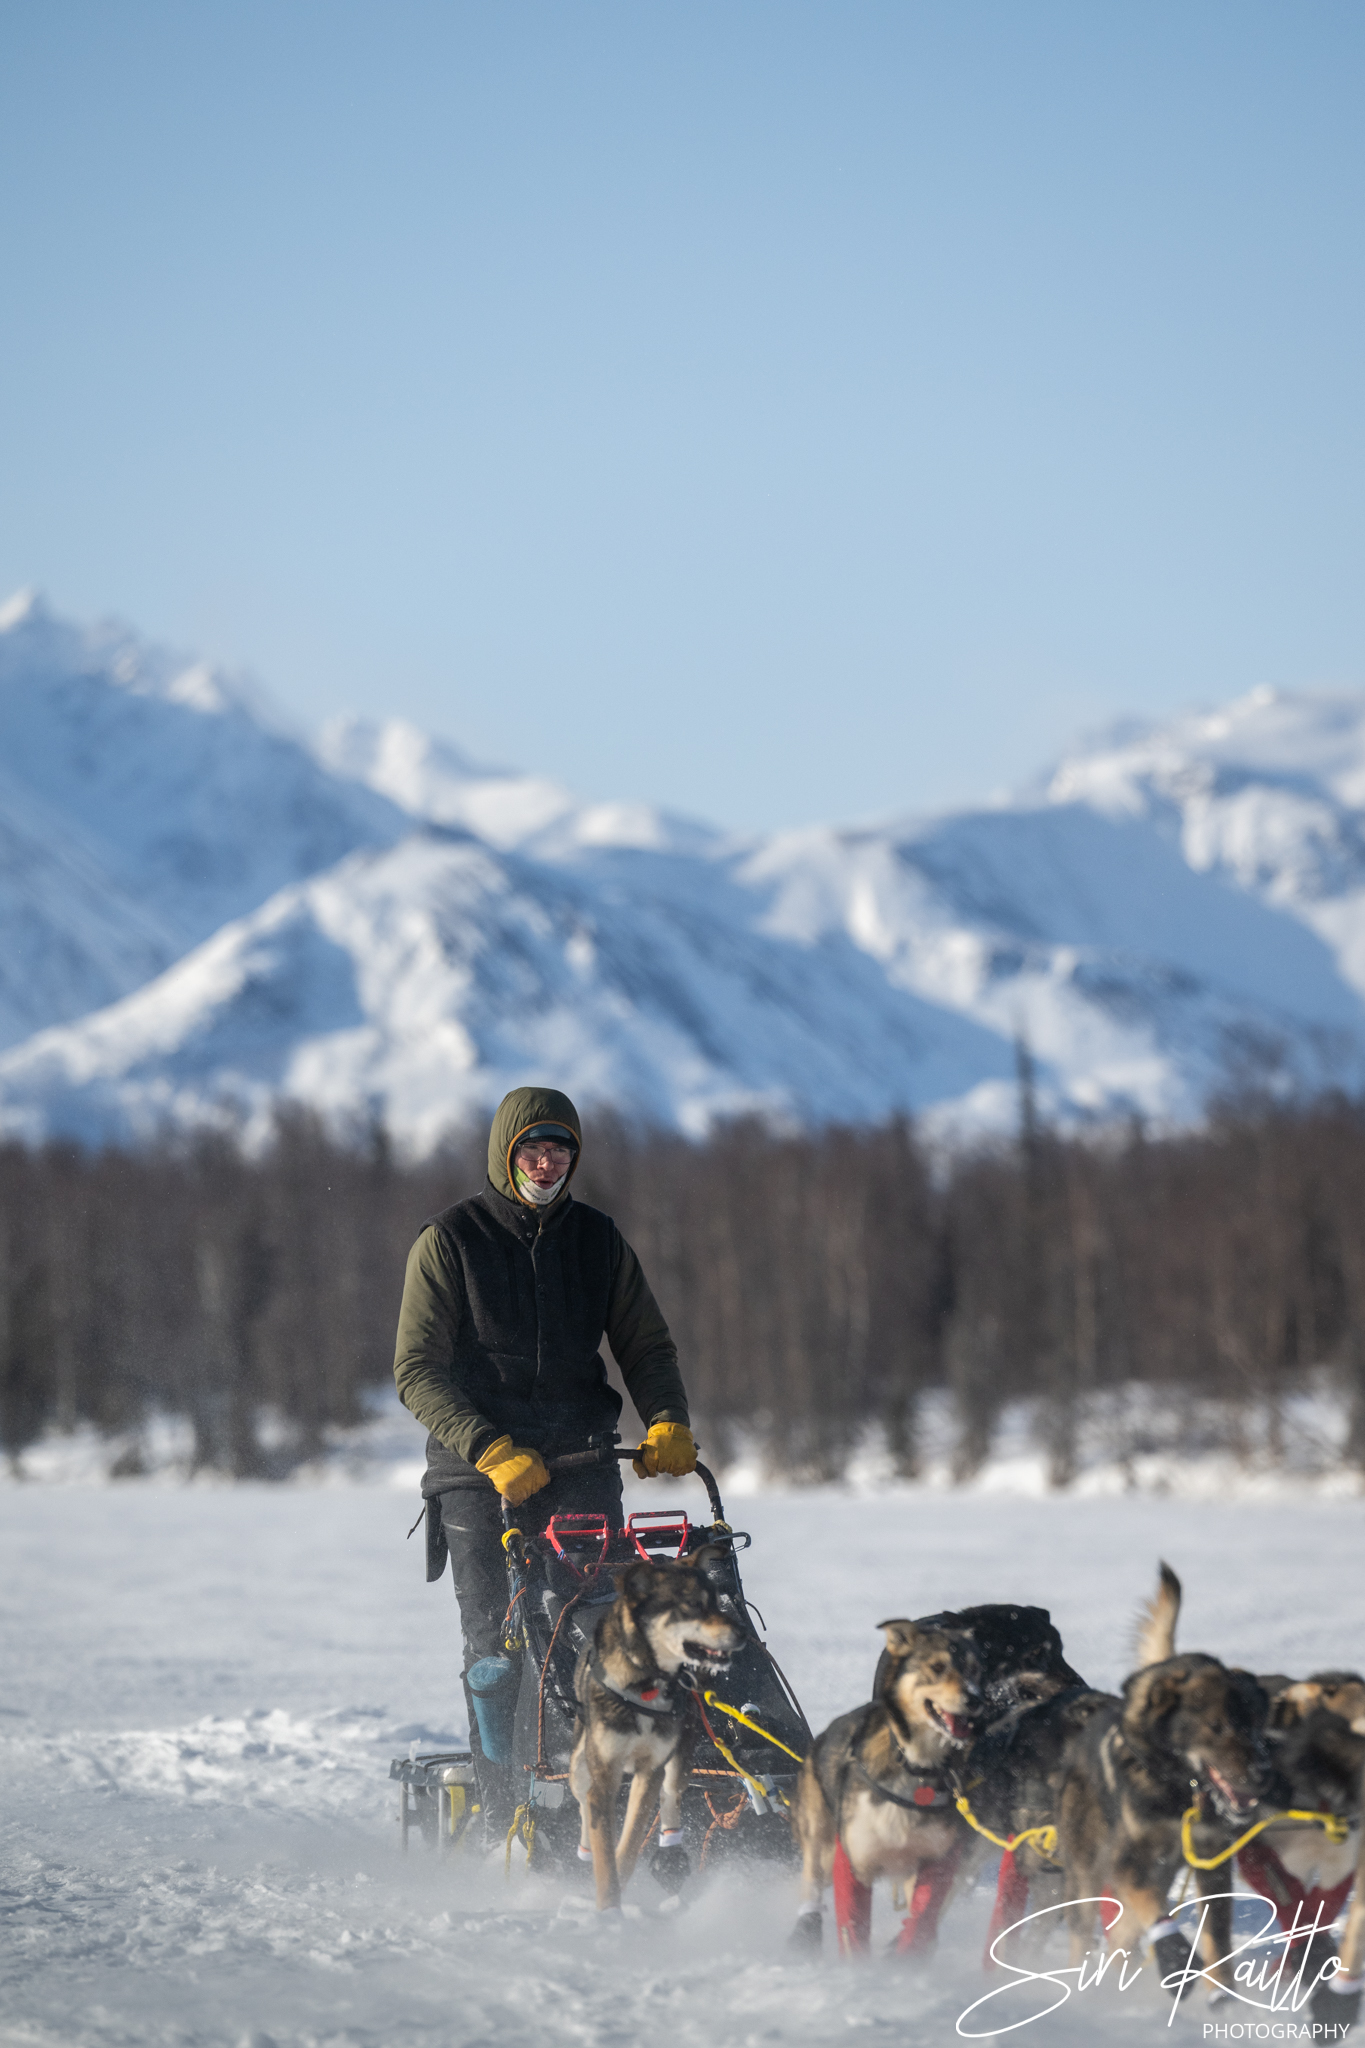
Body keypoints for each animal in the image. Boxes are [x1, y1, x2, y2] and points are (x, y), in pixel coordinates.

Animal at [569, 1546, 742, 1914]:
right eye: (692, 1605)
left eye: (716, 1600)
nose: (743, 1634)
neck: (645, 1682)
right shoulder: (603, 1774)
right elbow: (604, 1848)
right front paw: (607, 1910)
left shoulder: (650, 1770)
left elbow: (631, 1842)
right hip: (578, 1765)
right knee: (582, 1801)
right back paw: (585, 1845)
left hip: (680, 1753)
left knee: (671, 1792)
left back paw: (671, 1843)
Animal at [792, 1617, 983, 1956]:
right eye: (937, 1666)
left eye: (975, 1670)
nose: (975, 1698)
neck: (916, 1766)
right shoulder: (854, 1863)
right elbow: (853, 1929)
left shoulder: (937, 1862)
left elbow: (922, 1920)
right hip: (821, 1842)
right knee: (811, 1882)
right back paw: (805, 1931)